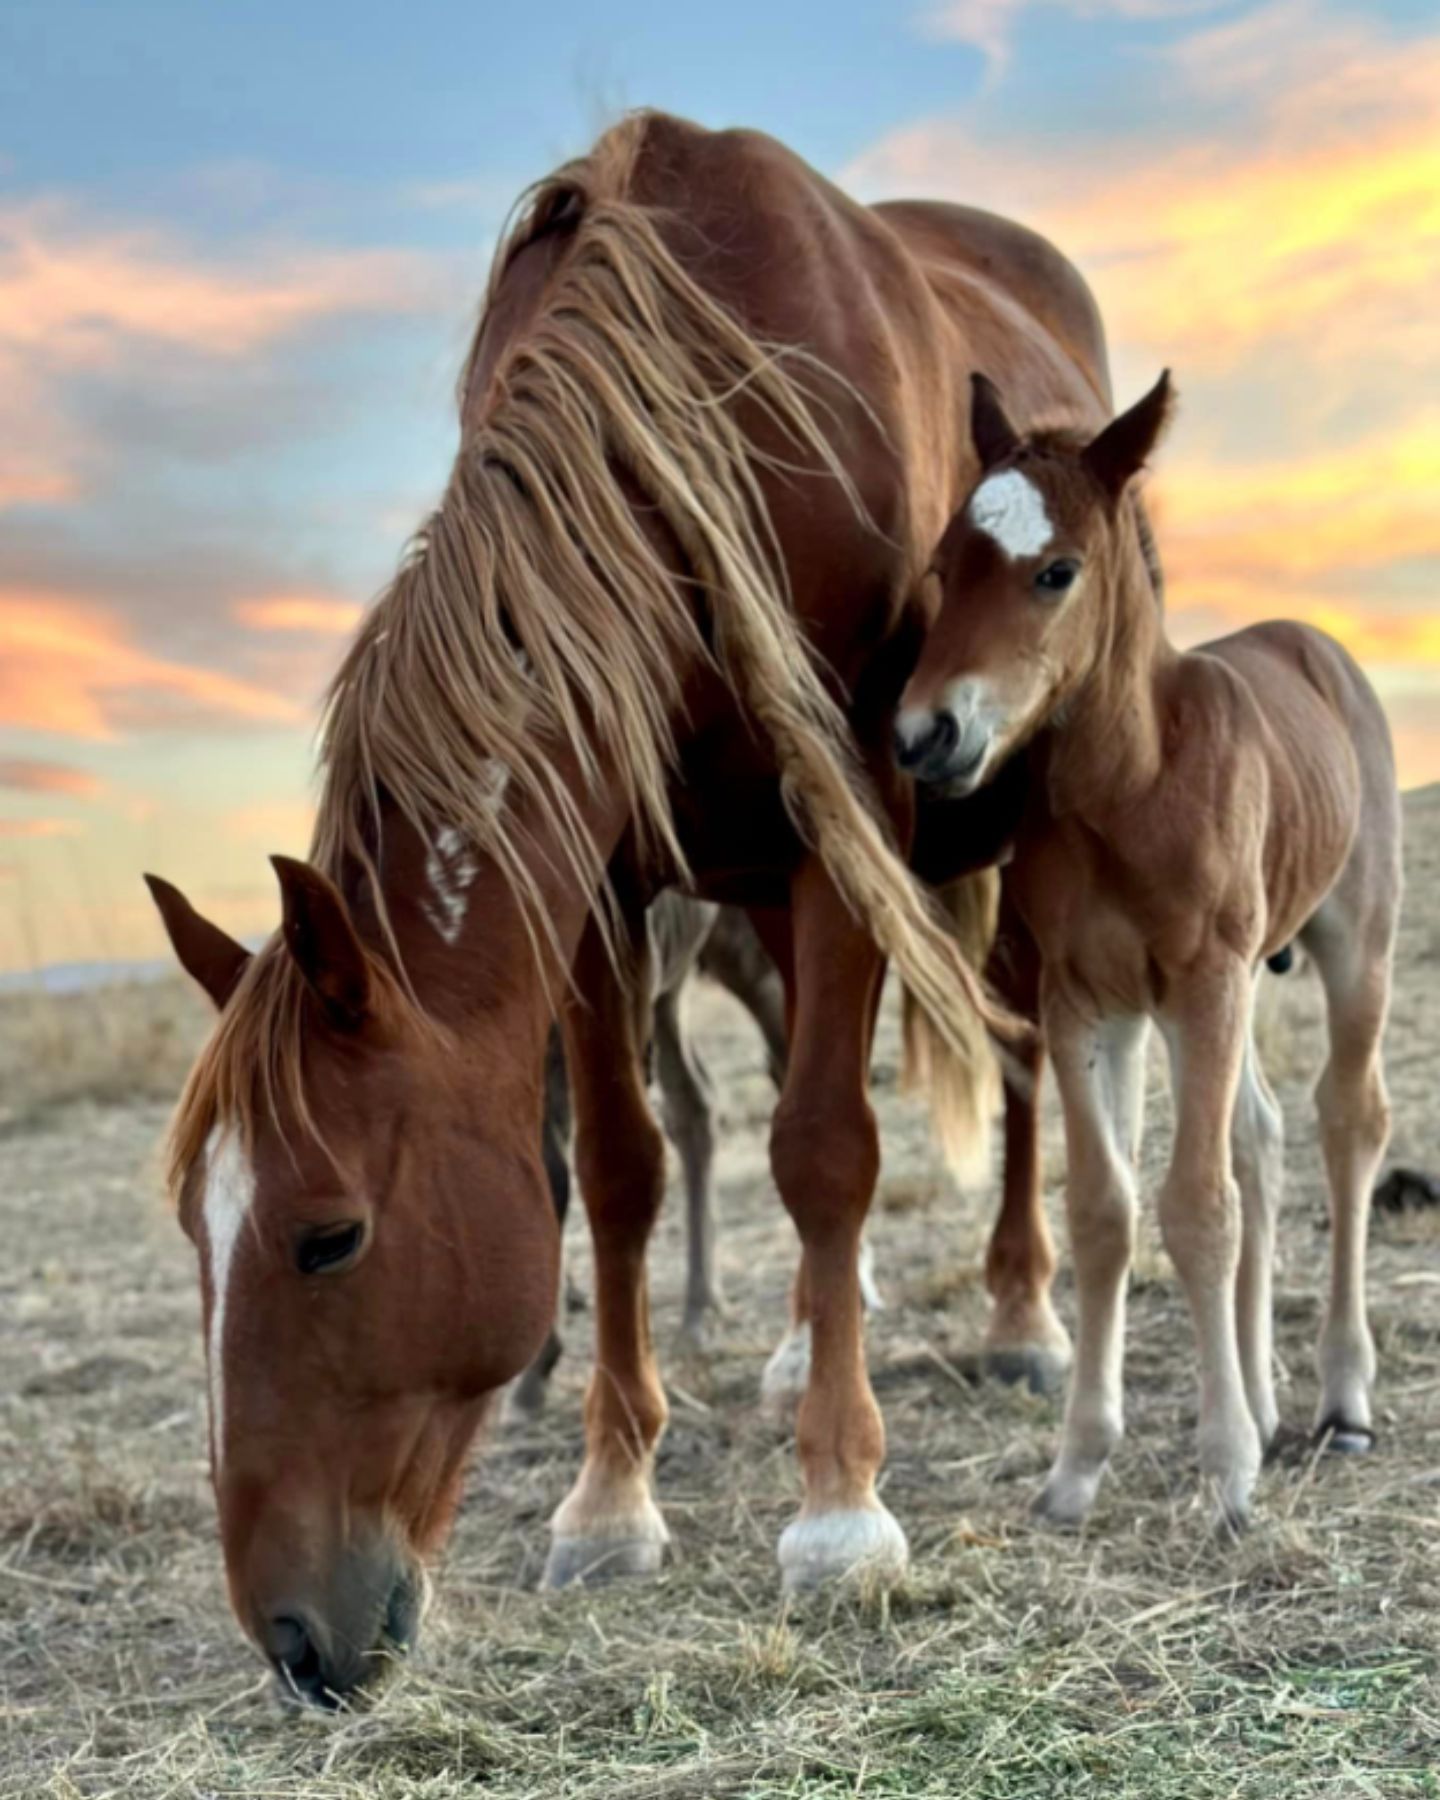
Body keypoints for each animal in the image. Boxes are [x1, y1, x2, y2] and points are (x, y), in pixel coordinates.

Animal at [143, 116, 1116, 1699]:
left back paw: (1021, 1315)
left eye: (328, 1236)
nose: (292, 1639)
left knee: (1016, 1061)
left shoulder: (854, 806)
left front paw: (840, 1511)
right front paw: (610, 1502)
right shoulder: (603, 886)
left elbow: (828, 1152)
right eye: (190, 1232)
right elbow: (614, 1173)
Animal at [892, 372, 1404, 1526]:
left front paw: (1225, 1469)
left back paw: (1342, 1400)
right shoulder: (1092, 1003)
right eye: (943, 567)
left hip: (1353, 940)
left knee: (1346, 1119)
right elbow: (1104, 1211)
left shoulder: (1202, 985)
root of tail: (1316, 643)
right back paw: (1266, 1398)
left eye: (1056, 572)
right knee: (1260, 1135)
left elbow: (1195, 1206)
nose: (924, 736)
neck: (1127, 788)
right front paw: (1079, 1466)